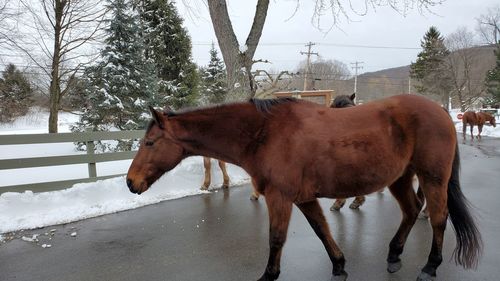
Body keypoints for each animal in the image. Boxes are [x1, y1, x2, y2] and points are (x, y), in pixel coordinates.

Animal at [128, 94, 480, 280]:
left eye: (149, 142)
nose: (131, 182)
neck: (264, 133)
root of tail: (441, 112)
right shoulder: (304, 198)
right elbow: (322, 230)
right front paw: (339, 266)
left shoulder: (280, 197)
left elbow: (276, 238)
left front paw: (268, 275)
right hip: (401, 178)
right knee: (411, 210)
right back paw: (393, 256)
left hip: (433, 178)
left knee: (438, 218)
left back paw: (430, 267)